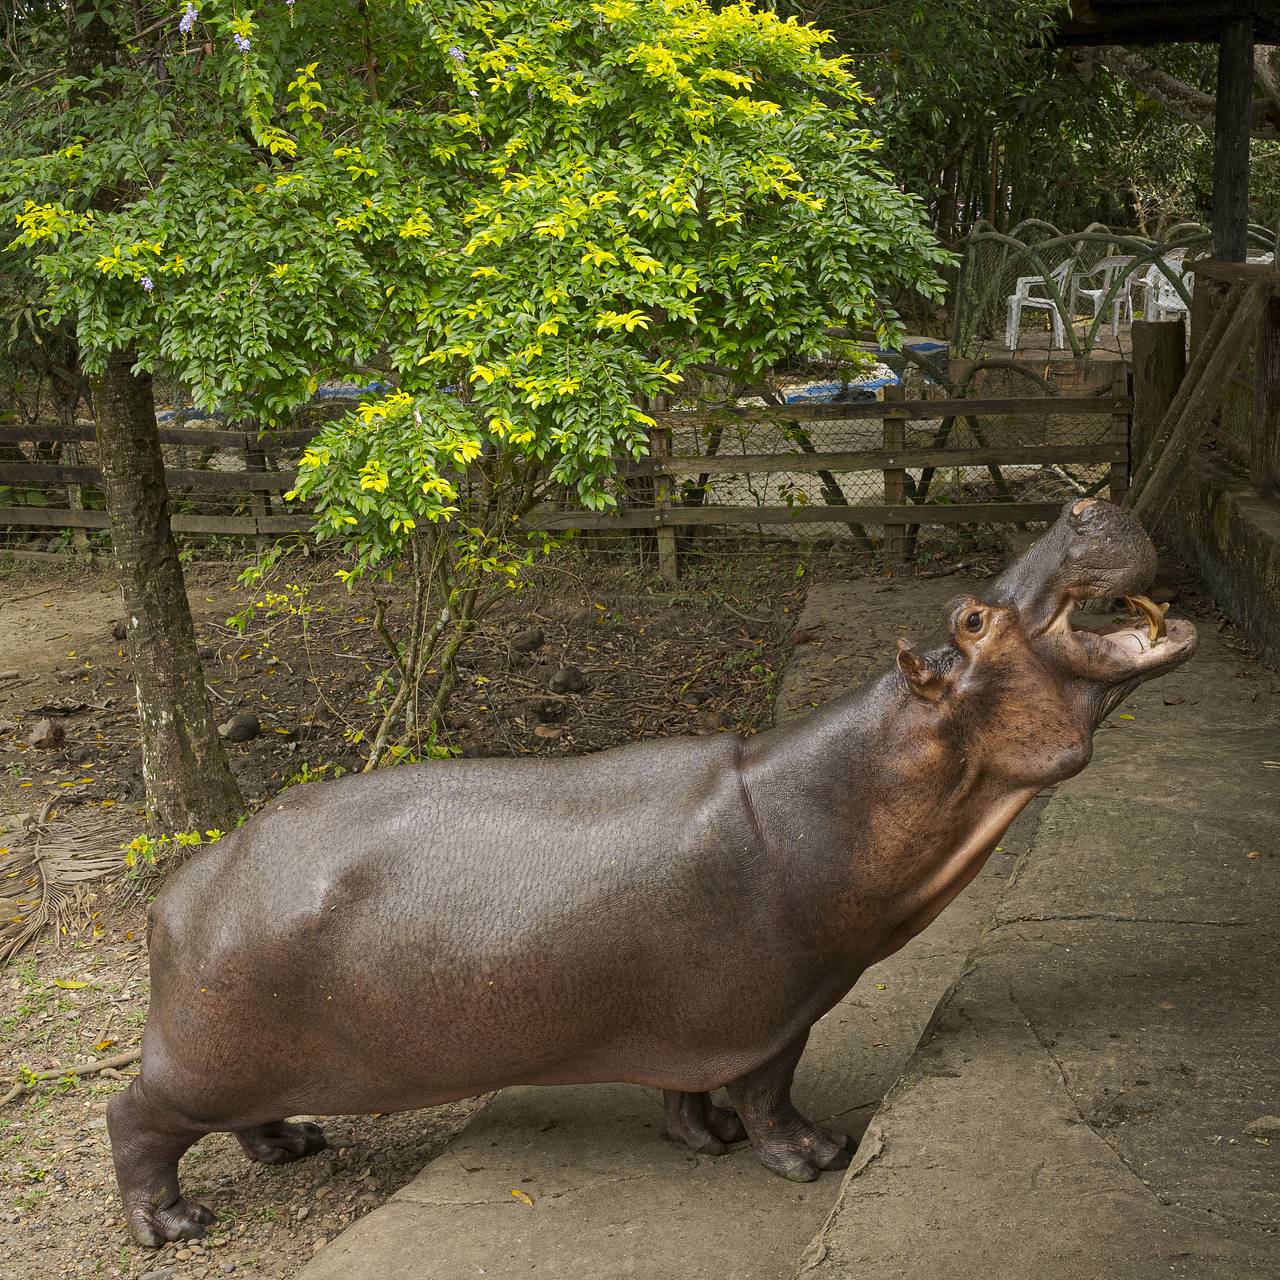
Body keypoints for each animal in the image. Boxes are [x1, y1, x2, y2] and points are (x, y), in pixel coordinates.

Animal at [104, 499, 1192, 1249]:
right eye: (970, 620)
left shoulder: (698, 1021)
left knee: (233, 1118)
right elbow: (770, 1093)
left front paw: (701, 1140)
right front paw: (814, 1157)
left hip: (239, 1060)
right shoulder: (776, 1010)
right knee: (132, 1118)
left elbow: (690, 1091)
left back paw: (293, 1145)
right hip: (196, 1060)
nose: (1082, 501)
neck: (855, 784)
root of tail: (180, 889)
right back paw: (174, 1226)